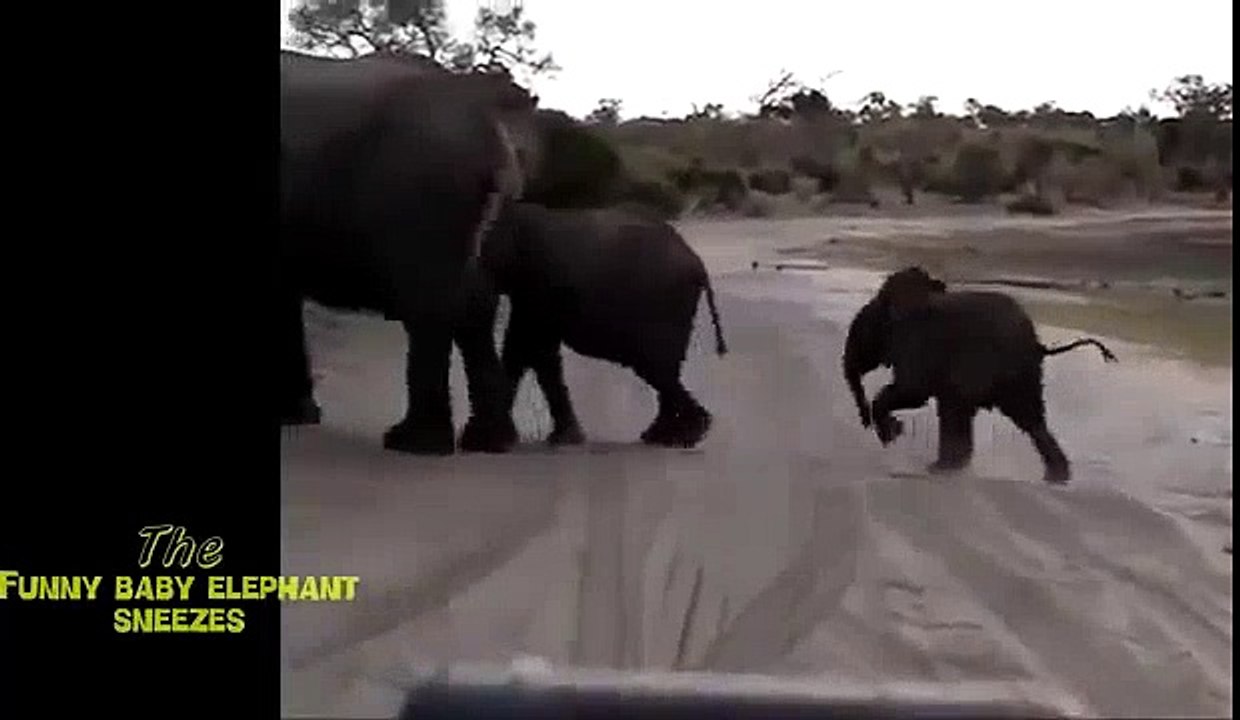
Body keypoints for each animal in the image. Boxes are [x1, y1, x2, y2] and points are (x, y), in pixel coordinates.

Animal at [280, 49, 540, 455]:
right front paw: (296, 416)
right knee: (475, 303)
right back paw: (489, 440)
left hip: (421, 187)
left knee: (430, 304)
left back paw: (414, 442)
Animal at [459, 201, 728, 448]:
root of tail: (698, 264)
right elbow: (532, 351)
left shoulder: (540, 284)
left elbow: (530, 346)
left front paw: (480, 440)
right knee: (663, 371)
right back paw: (664, 436)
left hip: (666, 305)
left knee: (656, 368)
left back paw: (686, 435)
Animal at [859, 267, 1118, 484]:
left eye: (876, 317)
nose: (894, 430)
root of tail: (1037, 344)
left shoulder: (917, 339)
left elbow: (914, 390)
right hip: (1019, 373)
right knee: (1026, 418)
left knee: (976, 409)